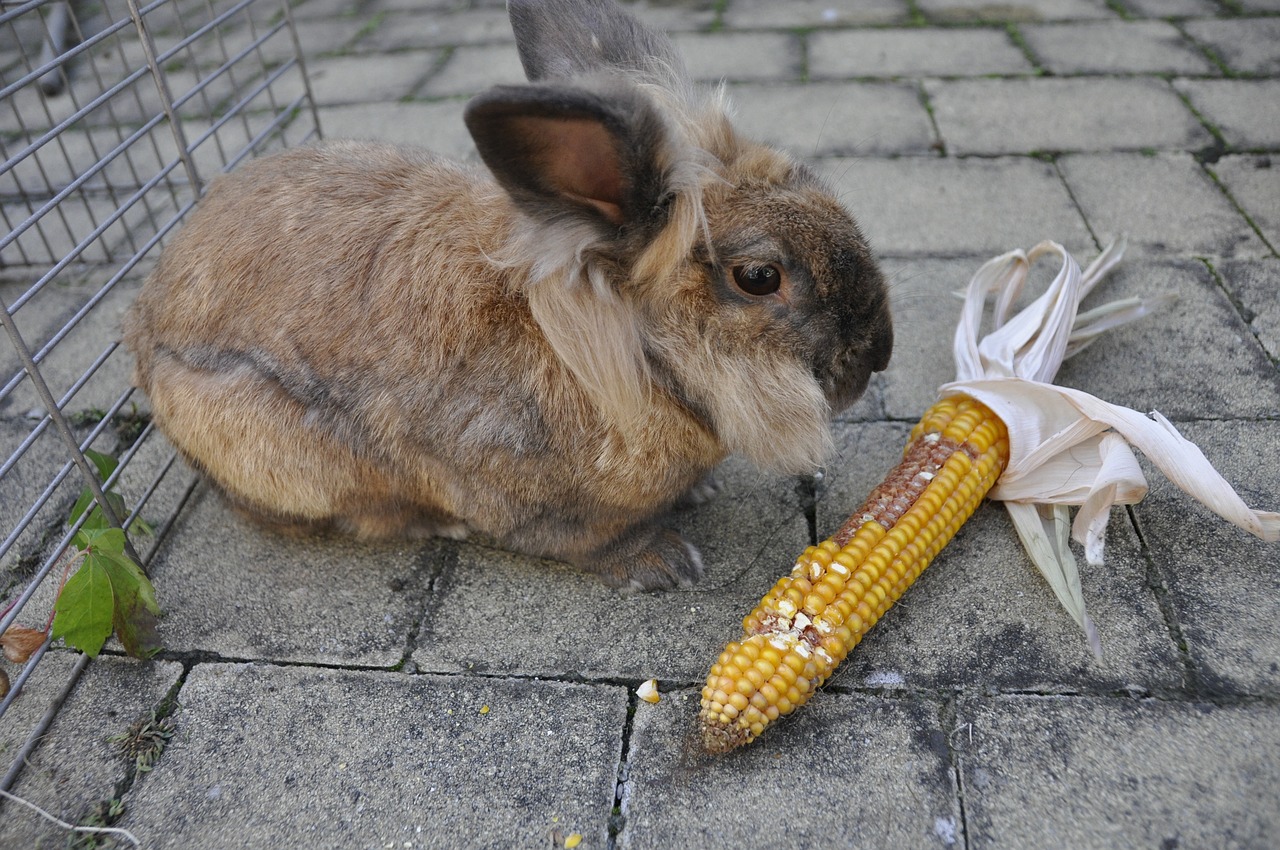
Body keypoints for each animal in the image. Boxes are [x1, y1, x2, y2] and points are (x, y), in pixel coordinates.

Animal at [122, 0, 890, 591]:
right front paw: (663, 564)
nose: (878, 355)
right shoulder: (526, 499)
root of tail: (143, 330)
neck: (622, 359)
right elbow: (583, 542)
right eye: (759, 277)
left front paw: (698, 494)